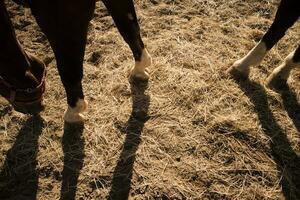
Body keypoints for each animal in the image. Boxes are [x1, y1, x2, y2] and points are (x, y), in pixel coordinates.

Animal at [0, 0, 152, 122]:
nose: (38, 108)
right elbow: (130, 29)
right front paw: (140, 69)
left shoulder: (62, 18)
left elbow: (70, 69)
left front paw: (74, 112)